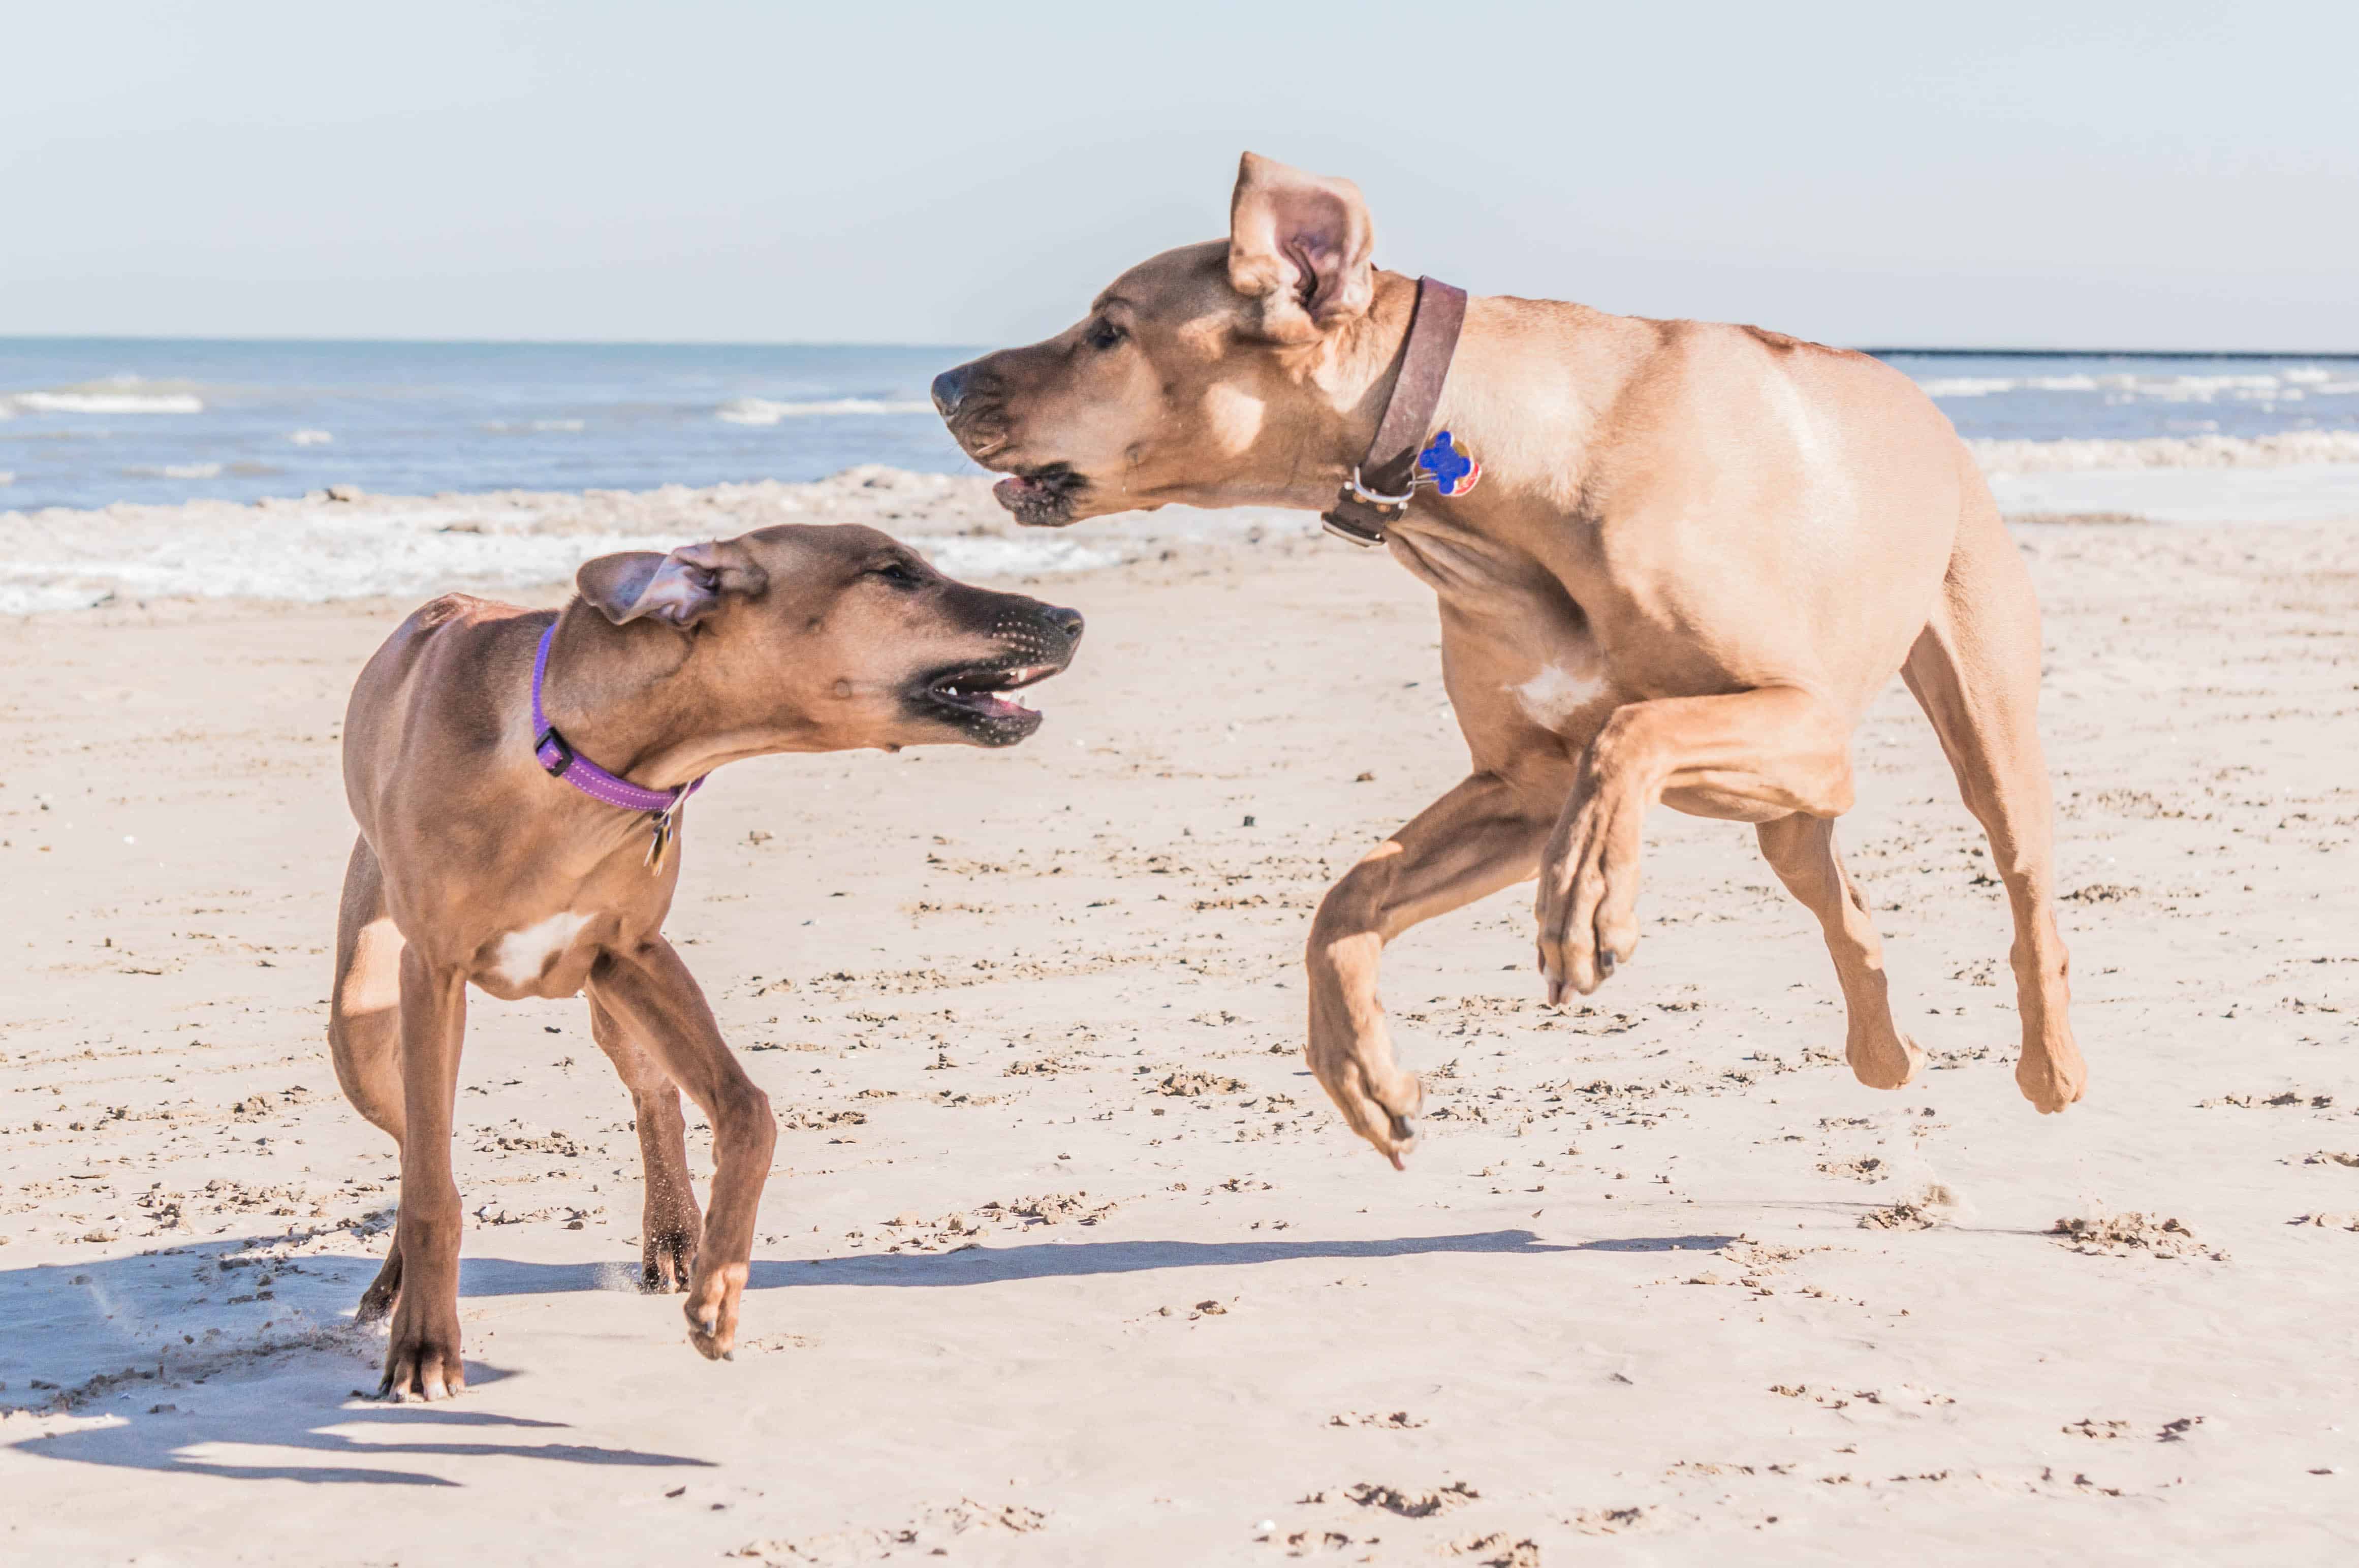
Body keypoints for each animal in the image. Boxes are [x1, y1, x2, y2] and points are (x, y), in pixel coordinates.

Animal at [335, 525, 1085, 1396]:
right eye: (895, 572)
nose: (1069, 619)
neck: (572, 761)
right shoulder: (435, 974)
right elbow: (432, 1187)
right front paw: (425, 1345)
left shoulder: (630, 953)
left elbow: (748, 1110)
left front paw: (718, 1290)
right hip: (363, 1030)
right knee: (415, 1144)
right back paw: (394, 1285)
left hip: (606, 995)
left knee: (652, 1091)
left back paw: (672, 1233)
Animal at [929, 153, 2094, 1169]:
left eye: (1107, 331)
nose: (940, 381)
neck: (1503, 474)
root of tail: (1924, 405)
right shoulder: (1523, 786)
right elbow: (1347, 897)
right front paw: (1361, 1072)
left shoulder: (1803, 721)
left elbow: (1630, 729)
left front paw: (1583, 897)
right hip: (1783, 812)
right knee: (1840, 905)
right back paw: (1882, 1054)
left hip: (1973, 727)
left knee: (2027, 899)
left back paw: (2050, 1068)